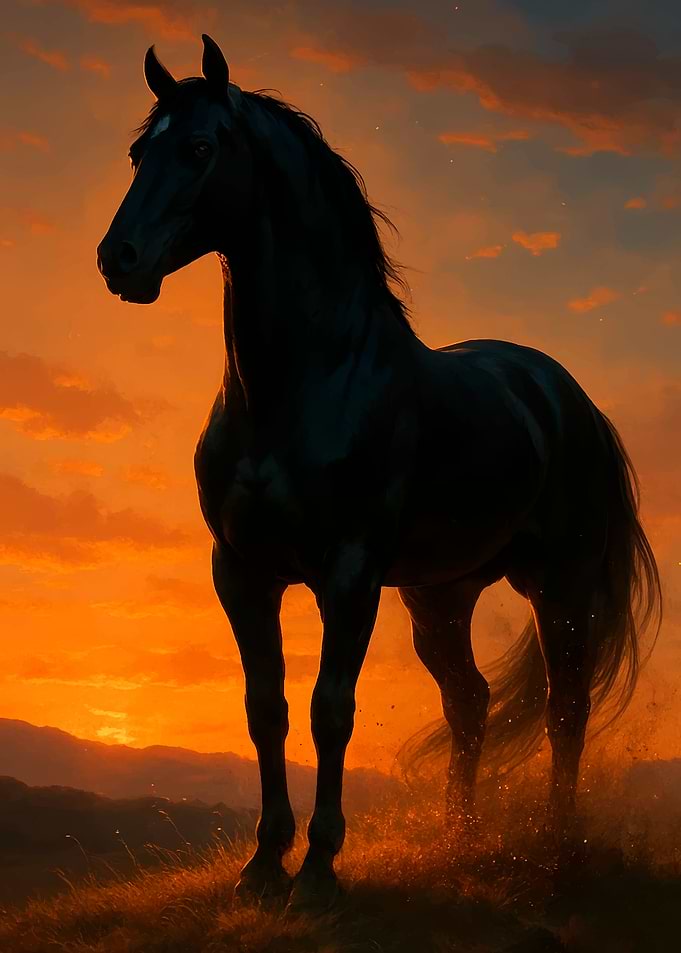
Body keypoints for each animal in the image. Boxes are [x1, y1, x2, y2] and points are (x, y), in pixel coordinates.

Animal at [97, 34, 662, 908]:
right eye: (136, 153)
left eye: (197, 148)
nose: (118, 259)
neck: (306, 383)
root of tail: (569, 399)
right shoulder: (242, 571)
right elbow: (266, 708)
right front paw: (263, 863)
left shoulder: (349, 572)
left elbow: (331, 708)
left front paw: (319, 868)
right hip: (441, 596)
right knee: (470, 703)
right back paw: (459, 842)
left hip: (557, 586)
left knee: (564, 707)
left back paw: (555, 846)